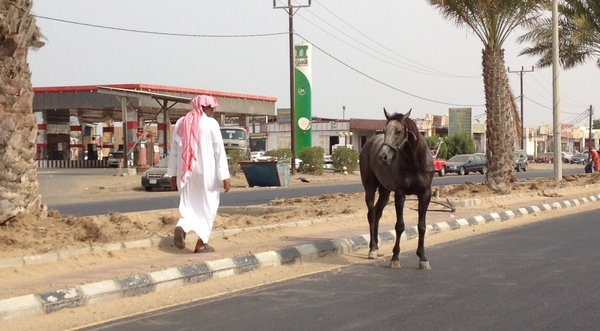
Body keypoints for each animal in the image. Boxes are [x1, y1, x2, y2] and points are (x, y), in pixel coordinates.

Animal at [358, 109, 434, 270]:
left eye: (399, 131)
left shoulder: (425, 194)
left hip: (385, 192)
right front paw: (395, 258)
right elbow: (399, 226)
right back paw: (372, 249)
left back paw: (377, 248)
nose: (383, 156)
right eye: (385, 130)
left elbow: (422, 226)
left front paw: (423, 258)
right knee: (371, 214)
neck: (415, 161)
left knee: (377, 213)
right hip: (370, 188)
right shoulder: (400, 194)